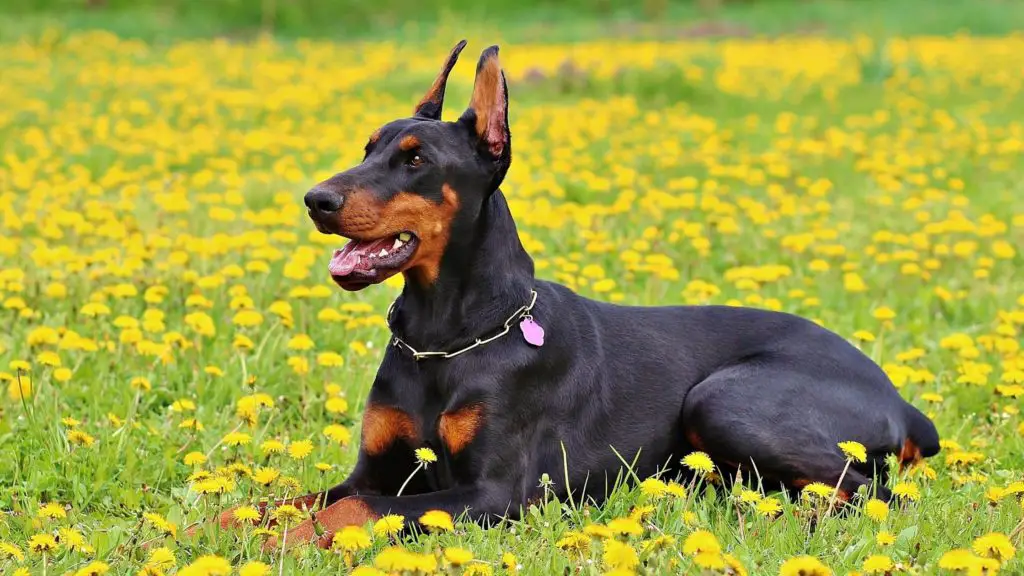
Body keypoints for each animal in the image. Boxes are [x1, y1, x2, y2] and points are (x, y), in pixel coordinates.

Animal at [220, 41, 937, 545]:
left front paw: (286, 543)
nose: (316, 200)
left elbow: (355, 509)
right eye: (367, 147)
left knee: (873, 493)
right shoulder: (376, 467)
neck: (446, 337)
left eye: (416, 160)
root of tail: (901, 400)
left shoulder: (494, 494)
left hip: (725, 400)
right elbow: (283, 499)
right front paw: (220, 528)